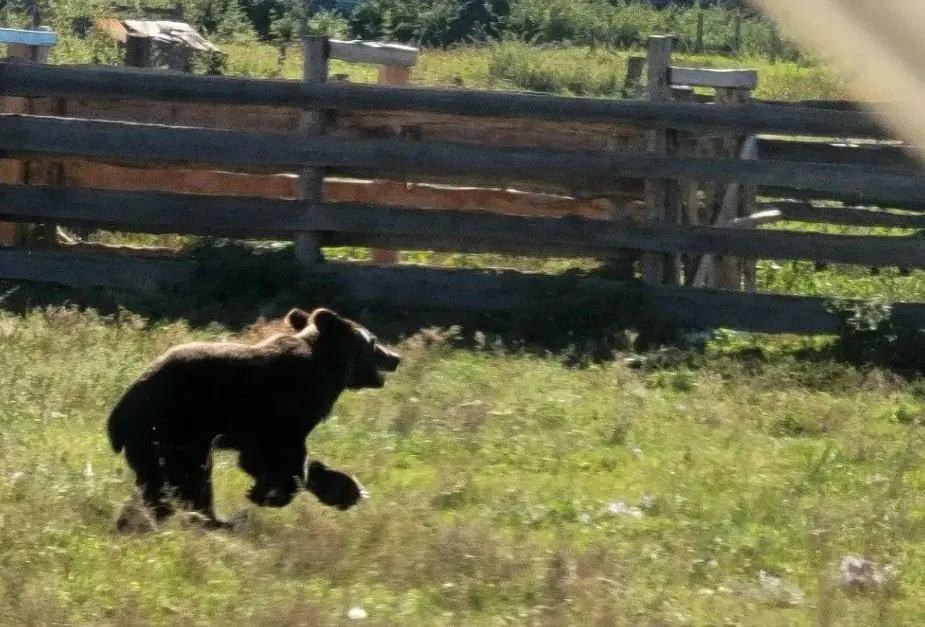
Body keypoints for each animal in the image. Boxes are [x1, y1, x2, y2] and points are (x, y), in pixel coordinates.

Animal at [106, 306, 401, 532]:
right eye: (374, 341)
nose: (396, 357)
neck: (329, 369)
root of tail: (117, 417)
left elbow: (268, 459)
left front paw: (347, 489)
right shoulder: (286, 407)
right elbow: (284, 458)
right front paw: (269, 493)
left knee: (161, 483)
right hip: (174, 426)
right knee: (187, 479)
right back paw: (215, 521)